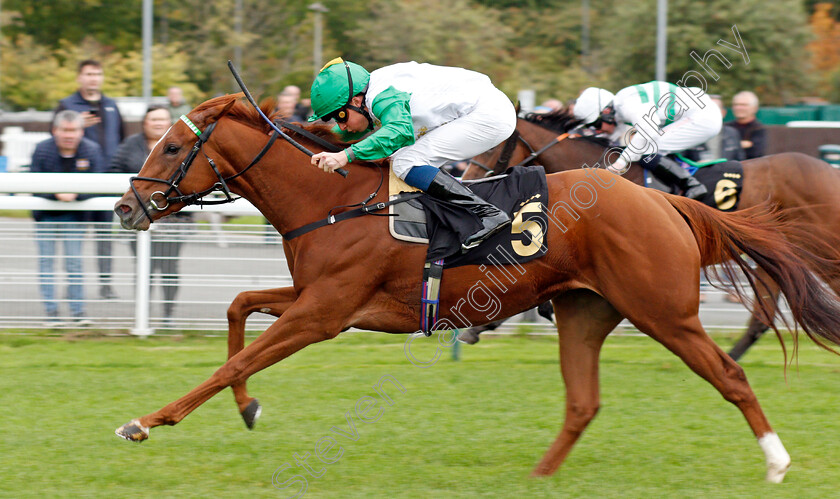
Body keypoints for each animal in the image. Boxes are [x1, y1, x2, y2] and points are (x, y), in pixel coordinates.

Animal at [462, 111, 840, 358]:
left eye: (490, 146)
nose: (466, 179)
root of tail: (829, 170)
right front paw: (482, 325)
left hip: (823, 248)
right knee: (761, 319)